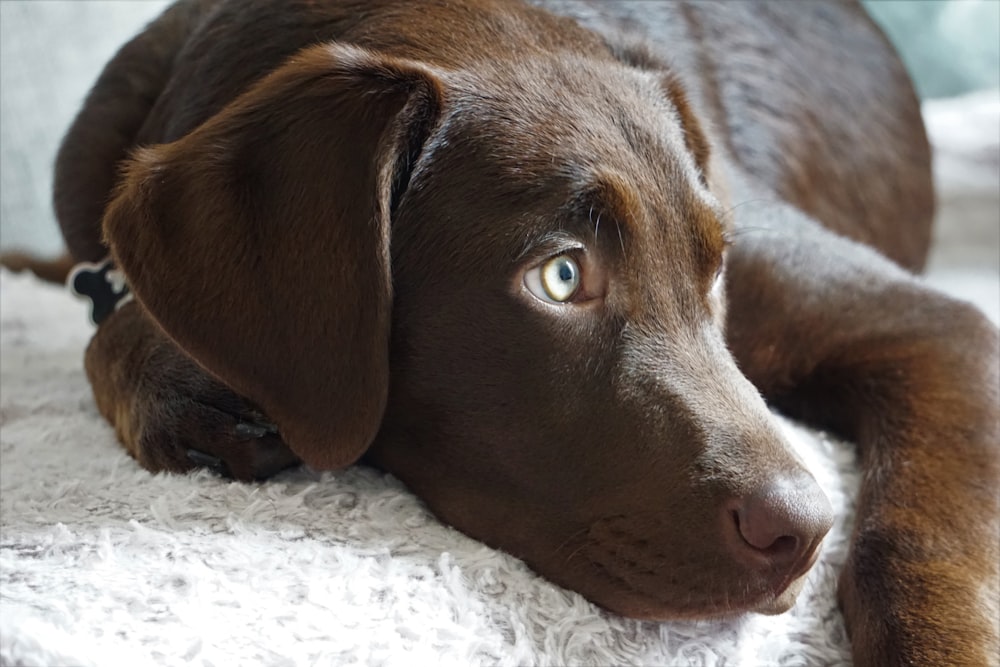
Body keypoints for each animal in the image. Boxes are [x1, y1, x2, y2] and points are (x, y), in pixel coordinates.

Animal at [11, 2, 996, 664]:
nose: (803, 531)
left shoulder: (938, 325)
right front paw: (171, 378)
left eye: (715, 267)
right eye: (560, 276)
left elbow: (916, 541)